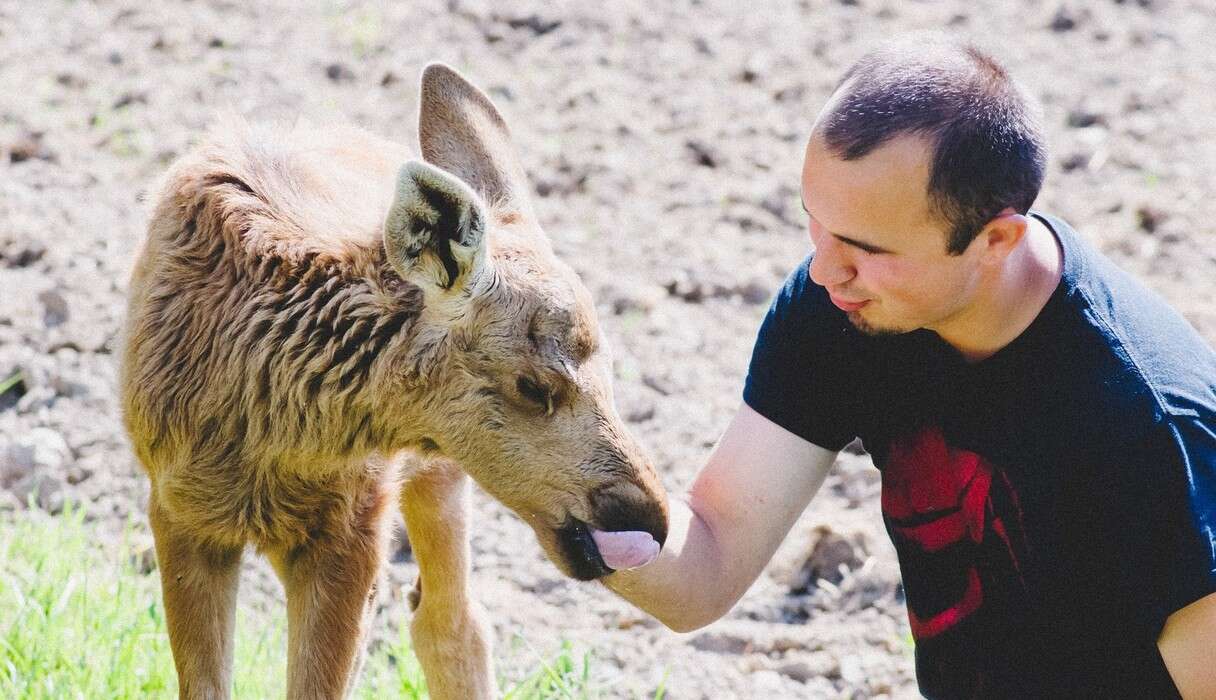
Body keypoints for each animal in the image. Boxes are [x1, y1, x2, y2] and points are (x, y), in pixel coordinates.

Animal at [122, 64, 671, 700]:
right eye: (534, 386)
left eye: (610, 371)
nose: (652, 517)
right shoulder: (178, 510)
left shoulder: (354, 522)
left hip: (439, 471)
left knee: (451, 621)